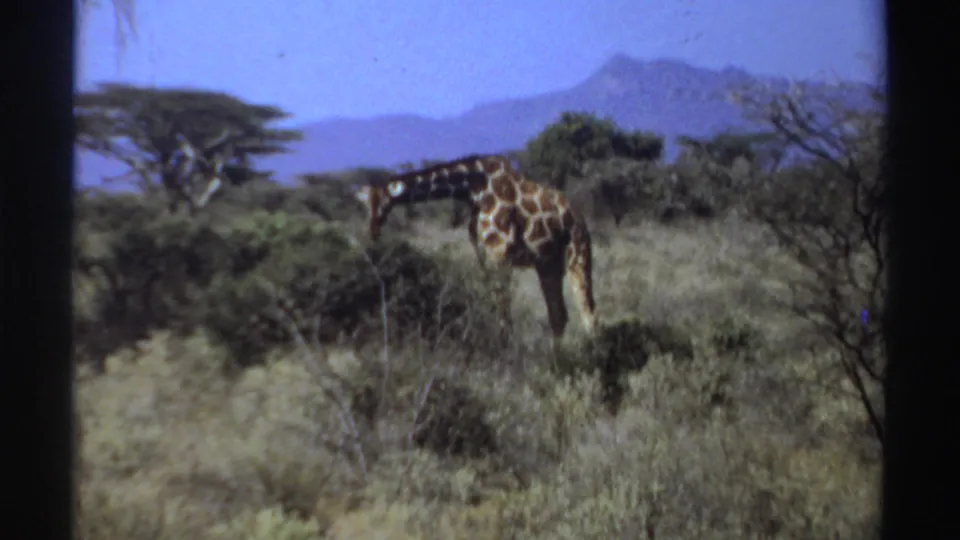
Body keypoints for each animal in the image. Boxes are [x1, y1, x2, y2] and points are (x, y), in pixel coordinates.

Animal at [352, 154, 597, 339]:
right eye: (365, 206)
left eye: (382, 204)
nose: (371, 233)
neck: (473, 188)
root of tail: (579, 218)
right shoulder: (483, 254)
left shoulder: (501, 252)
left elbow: (504, 310)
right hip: (548, 265)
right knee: (559, 316)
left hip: (578, 255)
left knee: (588, 310)